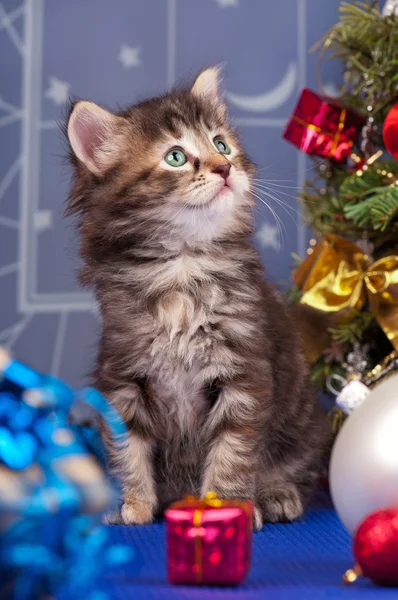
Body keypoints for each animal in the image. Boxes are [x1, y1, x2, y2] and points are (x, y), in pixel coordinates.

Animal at [65, 67, 326, 528]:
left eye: (221, 144)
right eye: (176, 157)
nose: (225, 168)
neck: (181, 268)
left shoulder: (244, 376)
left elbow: (233, 453)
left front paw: (228, 504)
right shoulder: (122, 377)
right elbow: (127, 449)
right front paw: (132, 504)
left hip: (302, 422)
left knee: (293, 466)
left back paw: (277, 494)